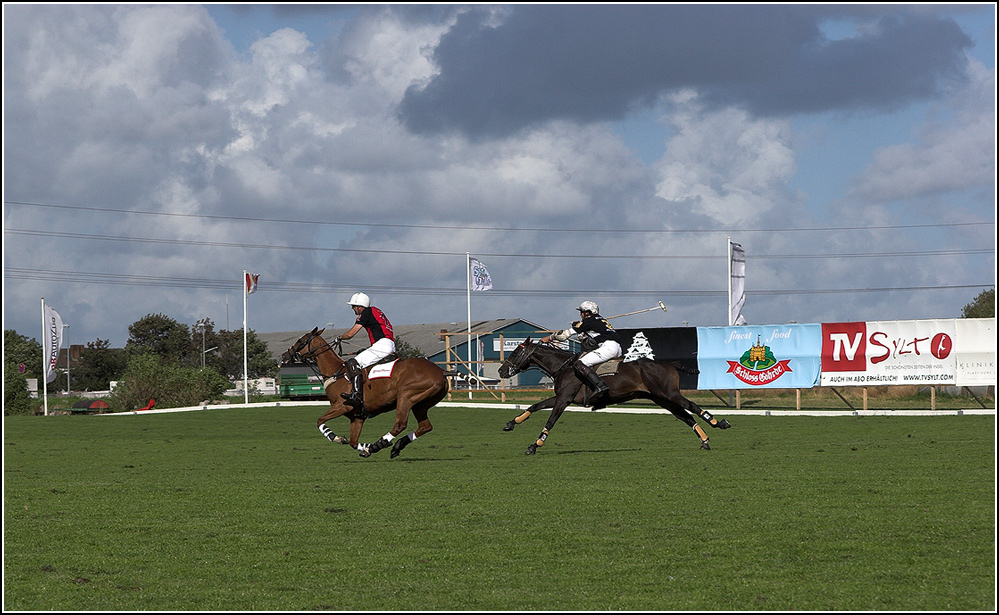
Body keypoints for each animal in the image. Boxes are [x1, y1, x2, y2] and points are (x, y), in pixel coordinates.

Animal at [284, 330, 452, 460]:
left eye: (300, 341)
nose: (285, 356)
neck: (336, 373)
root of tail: (441, 371)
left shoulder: (342, 406)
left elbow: (320, 421)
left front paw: (338, 438)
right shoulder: (357, 416)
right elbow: (353, 442)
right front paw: (365, 446)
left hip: (406, 396)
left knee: (400, 425)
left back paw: (379, 445)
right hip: (420, 404)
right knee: (425, 426)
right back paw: (394, 446)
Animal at [498, 340, 728, 454]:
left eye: (515, 352)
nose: (501, 370)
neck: (564, 367)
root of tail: (669, 364)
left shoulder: (564, 400)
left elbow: (550, 421)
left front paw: (535, 445)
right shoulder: (561, 397)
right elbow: (535, 406)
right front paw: (510, 423)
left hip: (670, 393)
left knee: (692, 405)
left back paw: (719, 423)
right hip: (662, 399)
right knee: (685, 416)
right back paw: (705, 440)